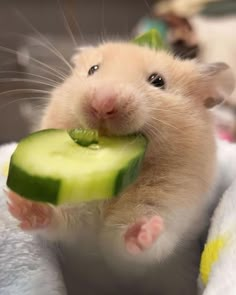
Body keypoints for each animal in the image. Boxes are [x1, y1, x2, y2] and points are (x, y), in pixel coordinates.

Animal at [6, 41, 234, 295]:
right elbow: (61, 219)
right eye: (93, 69)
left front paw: (144, 229)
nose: (102, 103)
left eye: (158, 81)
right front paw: (20, 204)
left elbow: (131, 242)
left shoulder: (171, 203)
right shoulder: (74, 216)